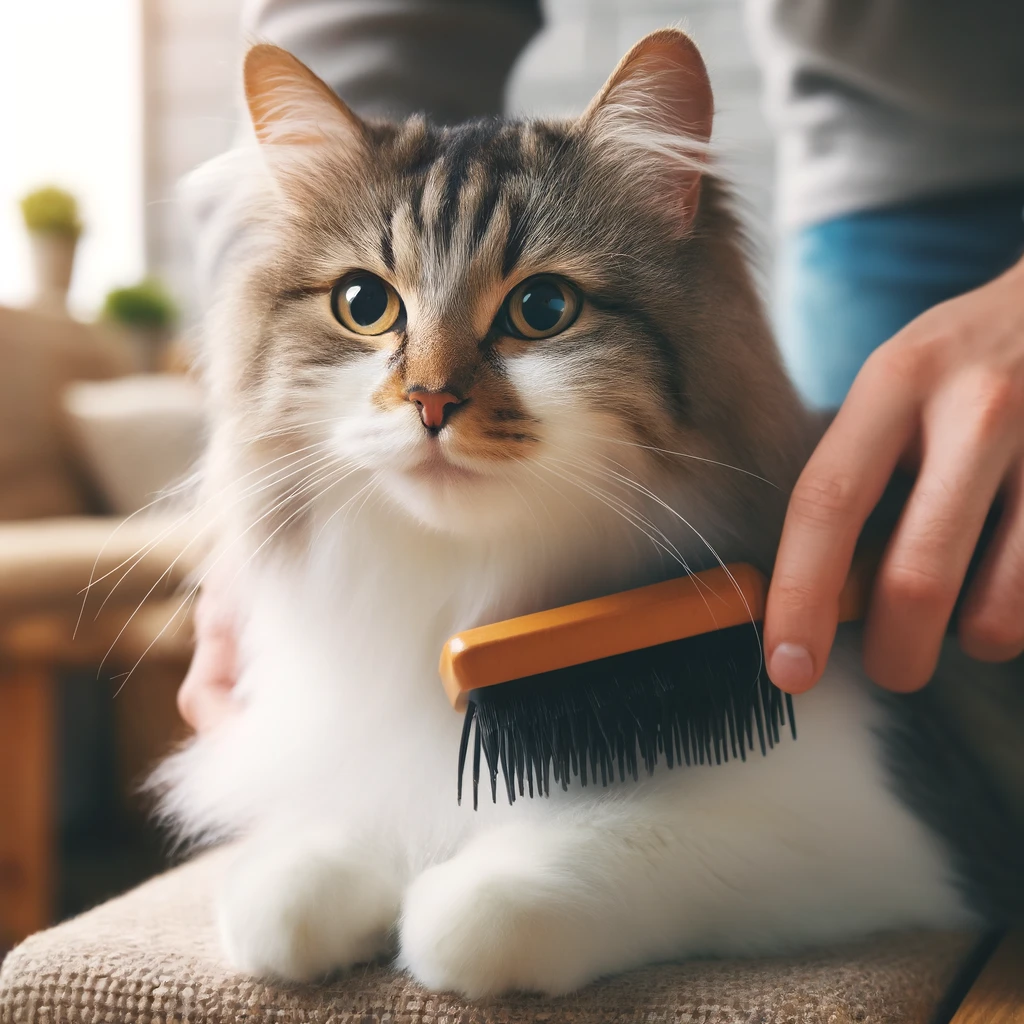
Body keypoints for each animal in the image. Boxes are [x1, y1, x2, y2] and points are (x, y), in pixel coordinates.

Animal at [153, 25, 1024, 999]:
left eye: (542, 308)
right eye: (365, 304)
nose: (429, 402)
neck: (470, 592)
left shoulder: (878, 826)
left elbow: (551, 873)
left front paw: (445, 911)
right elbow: (329, 841)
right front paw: (301, 884)